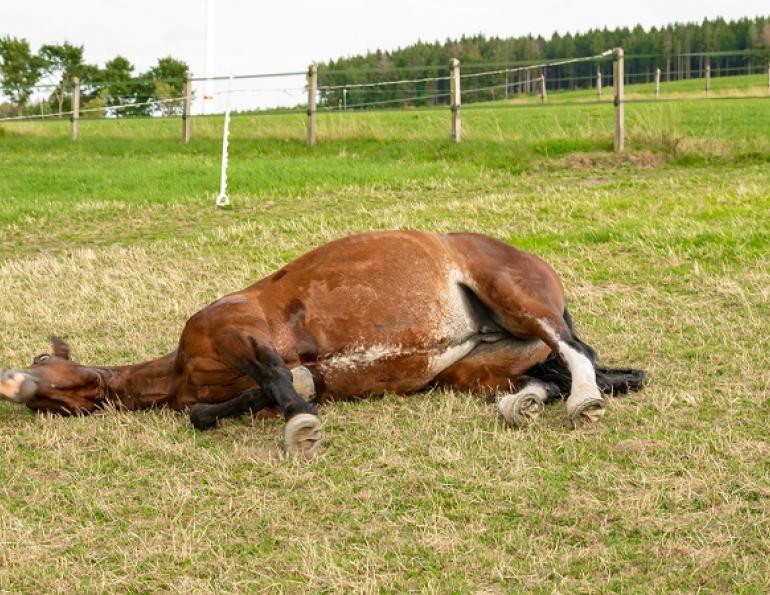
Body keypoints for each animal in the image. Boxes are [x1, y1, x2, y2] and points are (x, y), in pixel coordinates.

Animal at [0, 231, 645, 458]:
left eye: (40, 358)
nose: (13, 383)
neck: (180, 368)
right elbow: (220, 409)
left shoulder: (238, 331)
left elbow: (275, 378)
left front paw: (302, 427)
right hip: (474, 365)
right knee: (552, 369)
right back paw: (526, 402)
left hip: (515, 297)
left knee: (576, 354)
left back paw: (582, 401)